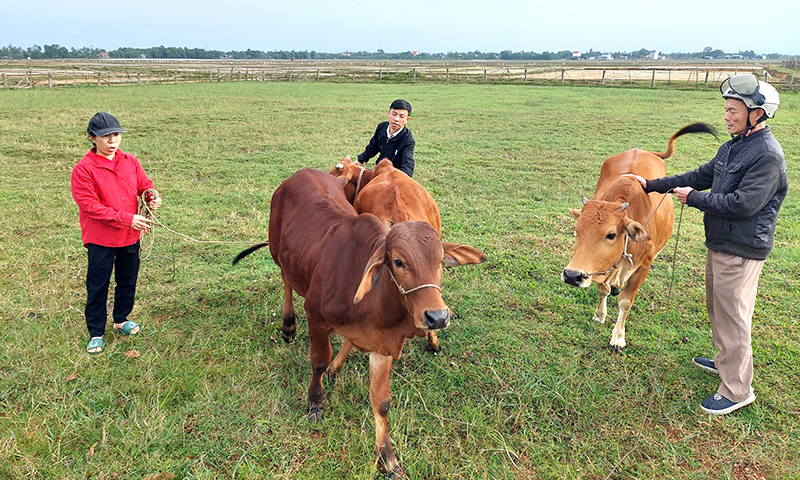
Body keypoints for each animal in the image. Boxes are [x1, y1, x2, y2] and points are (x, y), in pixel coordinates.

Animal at [234, 169, 484, 476]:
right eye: (398, 261)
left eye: (440, 262)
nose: (437, 317)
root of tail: (302, 172)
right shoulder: (317, 320)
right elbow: (318, 363)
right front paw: (315, 402)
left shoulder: (383, 344)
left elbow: (381, 402)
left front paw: (387, 457)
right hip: (278, 254)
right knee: (286, 282)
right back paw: (288, 325)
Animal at [560, 124, 716, 348]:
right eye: (577, 231)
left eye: (611, 234)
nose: (572, 275)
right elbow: (603, 290)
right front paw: (600, 314)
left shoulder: (644, 266)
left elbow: (626, 301)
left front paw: (618, 337)